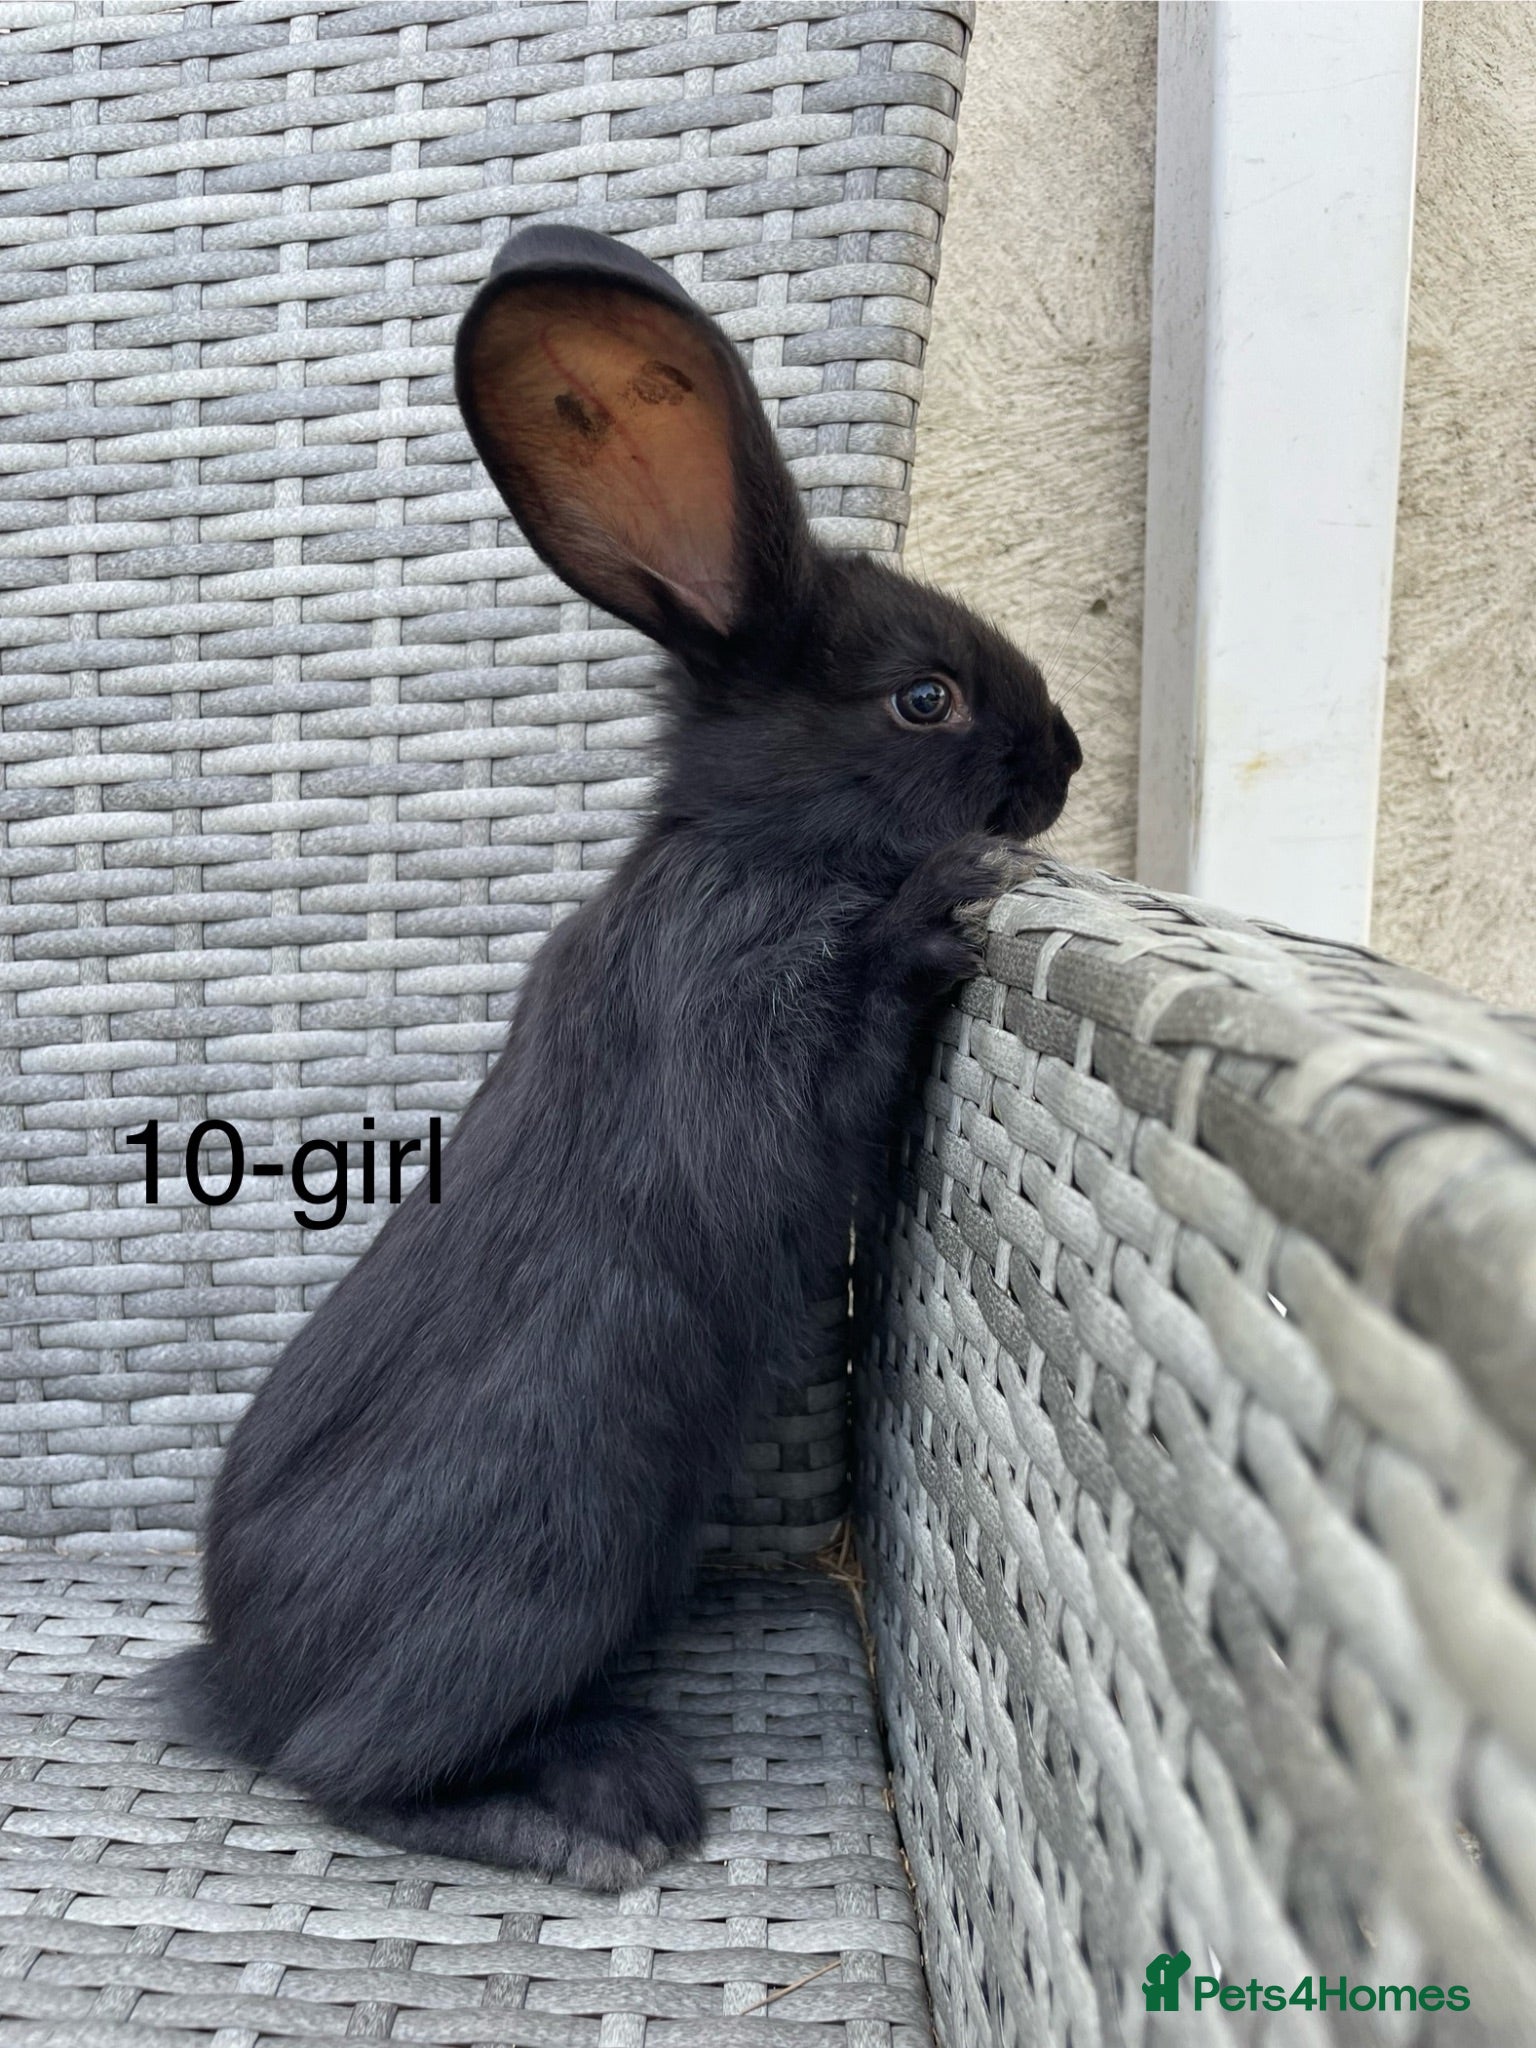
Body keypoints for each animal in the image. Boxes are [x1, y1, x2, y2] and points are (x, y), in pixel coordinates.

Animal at [156, 224, 1081, 1890]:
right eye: (927, 697)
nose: (1067, 764)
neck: (757, 845)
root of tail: (241, 1687)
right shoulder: (740, 1029)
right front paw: (949, 903)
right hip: (547, 1574)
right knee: (346, 1776)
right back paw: (604, 1809)